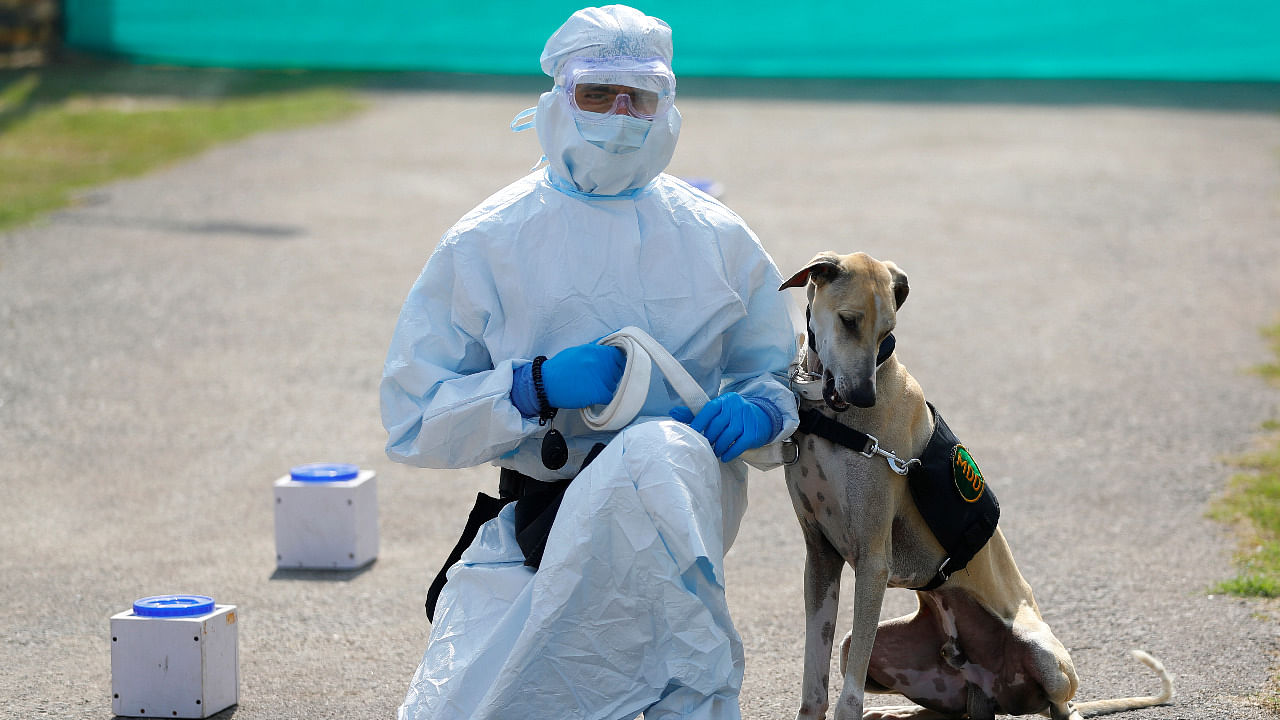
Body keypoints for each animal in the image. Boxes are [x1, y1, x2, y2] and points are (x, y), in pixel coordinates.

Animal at [773, 249, 1172, 712]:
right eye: (849, 321)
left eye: (887, 331)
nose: (863, 397)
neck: (835, 420)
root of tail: (985, 687)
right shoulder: (820, 557)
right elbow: (813, 688)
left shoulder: (873, 561)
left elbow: (847, 699)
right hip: (887, 655)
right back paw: (892, 712)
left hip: (1042, 655)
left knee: (1061, 706)